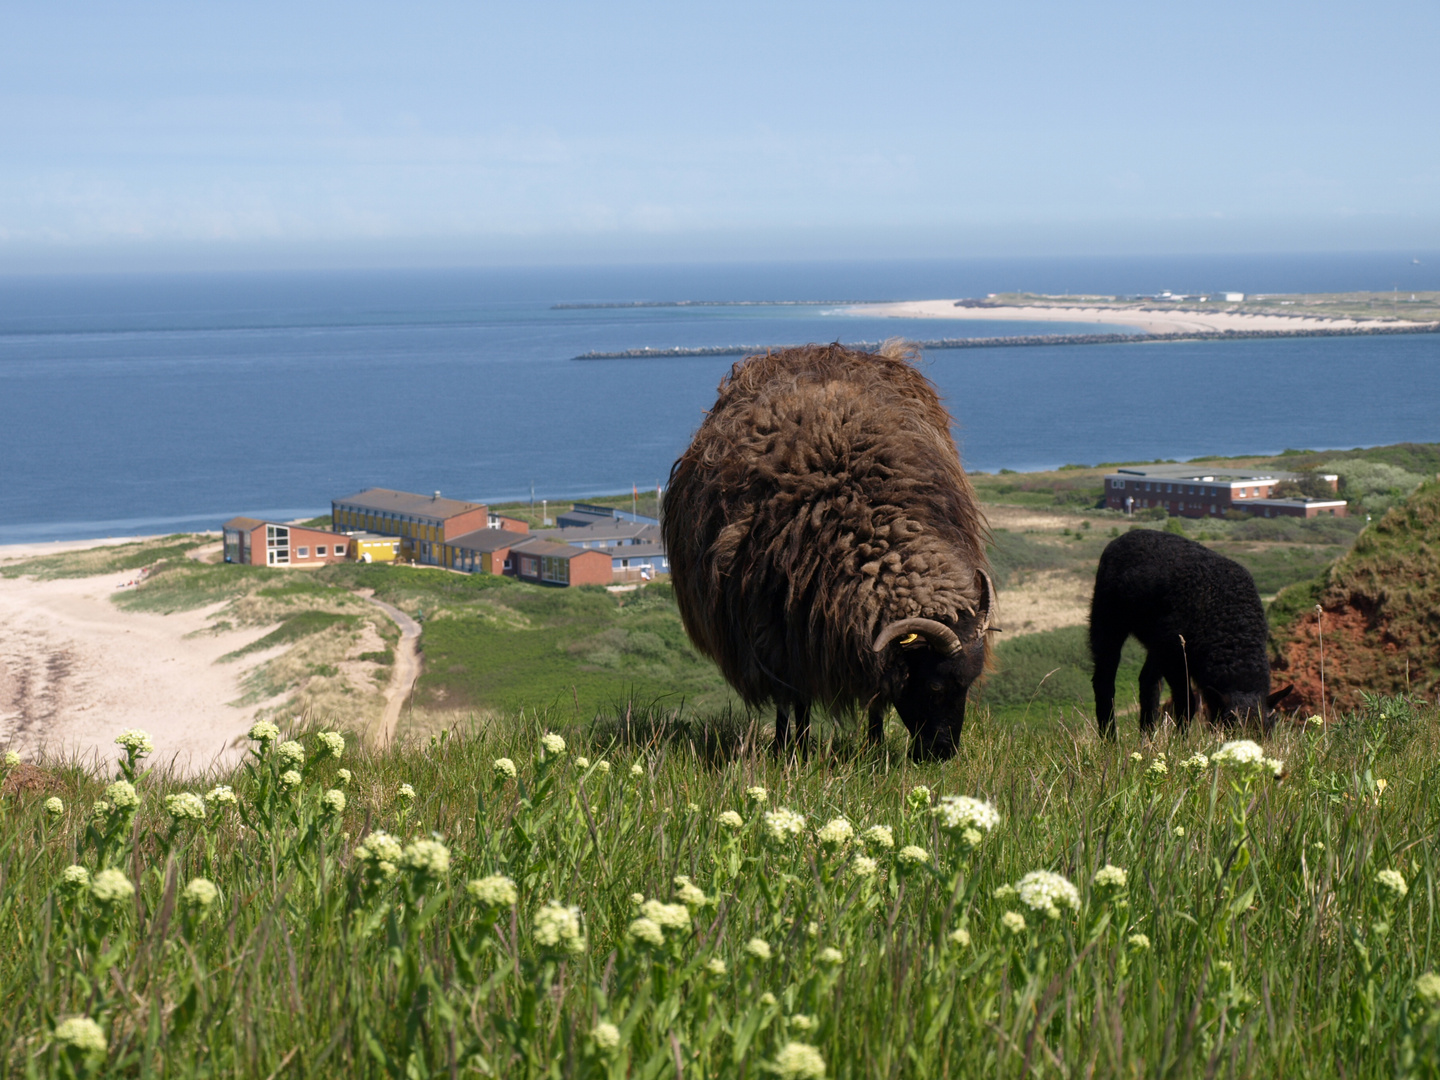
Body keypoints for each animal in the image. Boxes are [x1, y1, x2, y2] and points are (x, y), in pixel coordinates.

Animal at [659, 339, 990, 760]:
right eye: (934, 685)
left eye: (969, 683)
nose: (942, 754)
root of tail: (816, 350)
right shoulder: (773, 631)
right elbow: (790, 696)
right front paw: (789, 750)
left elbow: (875, 697)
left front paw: (874, 748)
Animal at [1088, 529, 1296, 743]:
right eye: (1231, 728)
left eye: (1269, 729)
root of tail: (1128, 534)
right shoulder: (1176, 658)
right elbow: (1187, 701)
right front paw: (1180, 742)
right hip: (1108, 619)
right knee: (1104, 681)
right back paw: (1110, 740)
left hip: (1157, 643)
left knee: (1148, 682)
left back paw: (1147, 739)